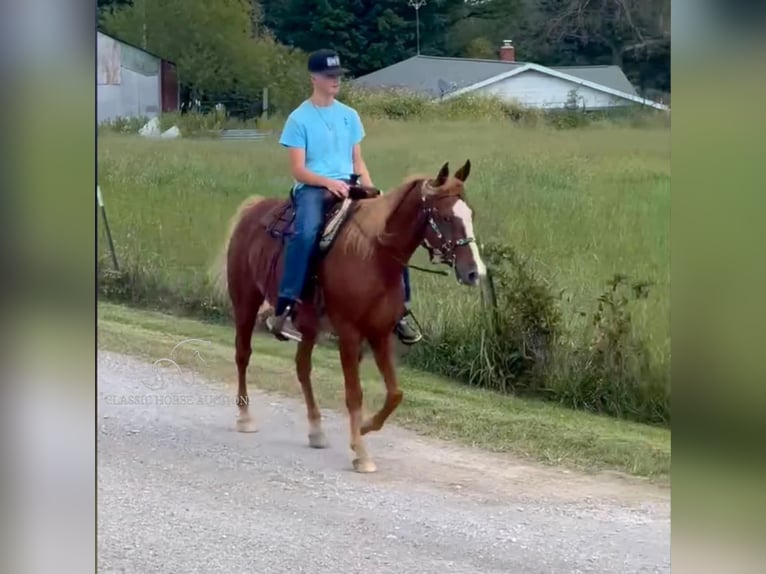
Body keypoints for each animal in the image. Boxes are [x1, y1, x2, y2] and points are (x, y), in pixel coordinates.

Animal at [212, 159, 486, 472]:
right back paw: (245, 417)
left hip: (308, 326)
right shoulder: (349, 334)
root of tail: (253, 209)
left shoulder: (380, 335)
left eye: (470, 213)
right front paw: (361, 452)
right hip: (245, 302)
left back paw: (316, 430)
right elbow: (354, 394)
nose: (475, 272)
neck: (374, 256)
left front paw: (365, 427)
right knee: (243, 354)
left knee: (302, 368)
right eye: (444, 216)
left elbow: (395, 394)